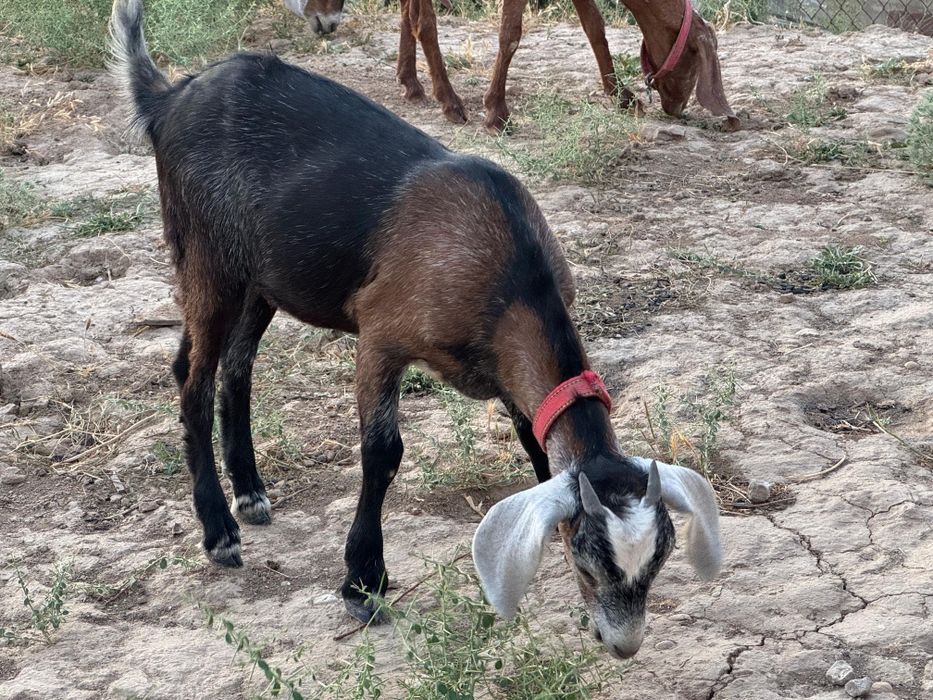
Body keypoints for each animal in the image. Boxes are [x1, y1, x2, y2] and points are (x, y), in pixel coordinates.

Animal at [110, 0, 722, 658]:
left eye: (657, 562)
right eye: (591, 564)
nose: (624, 643)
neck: (510, 273)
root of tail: (169, 99)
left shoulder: (508, 372)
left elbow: (535, 445)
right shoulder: (382, 335)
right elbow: (383, 452)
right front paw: (363, 582)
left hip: (261, 276)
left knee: (237, 367)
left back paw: (250, 492)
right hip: (206, 257)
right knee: (191, 377)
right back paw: (220, 530)